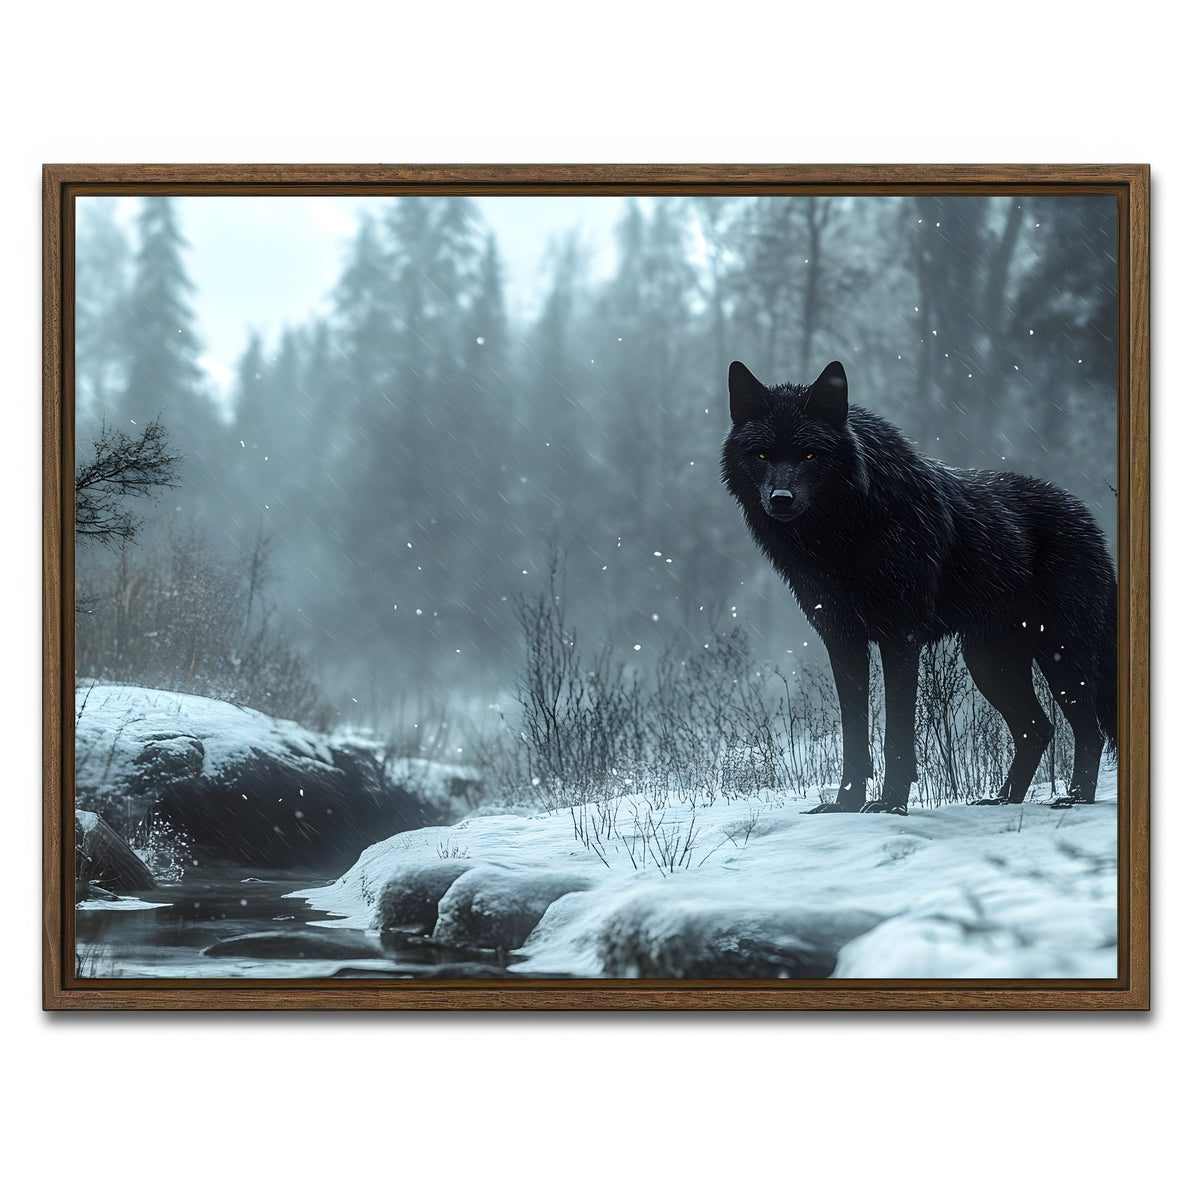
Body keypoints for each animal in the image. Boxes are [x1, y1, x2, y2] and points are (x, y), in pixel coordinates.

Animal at [721, 360, 1117, 814]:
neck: (841, 537)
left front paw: (890, 803)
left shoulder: (900, 636)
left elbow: (896, 733)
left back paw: (1075, 798)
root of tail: (1091, 522)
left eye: (808, 454)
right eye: (762, 454)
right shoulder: (842, 639)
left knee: (1088, 731)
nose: (781, 498)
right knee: (1038, 728)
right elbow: (854, 735)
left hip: (1059, 656)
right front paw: (845, 804)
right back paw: (1002, 800)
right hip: (988, 661)